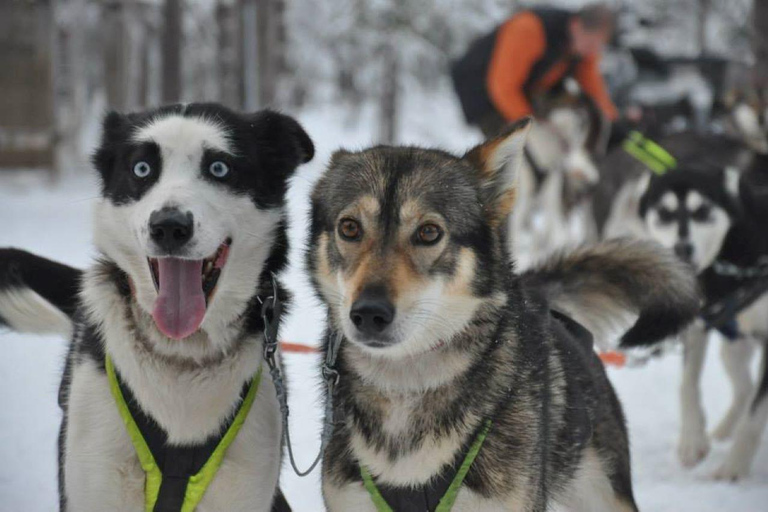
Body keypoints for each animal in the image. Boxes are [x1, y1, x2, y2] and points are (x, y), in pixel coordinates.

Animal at [640, 155, 768, 480]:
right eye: (664, 214)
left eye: (703, 212)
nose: (682, 248)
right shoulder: (698, 325)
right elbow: (687, 385)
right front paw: (692, 440)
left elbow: (755, 417)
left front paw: (733, 469)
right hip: (734, 349)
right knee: (744, 389)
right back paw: (722, 430)